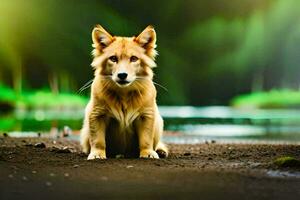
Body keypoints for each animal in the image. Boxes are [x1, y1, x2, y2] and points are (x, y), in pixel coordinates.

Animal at [81, 24, 168, 159]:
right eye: (113, 58)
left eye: (134, 58)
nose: (122, 75)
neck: (124, 93)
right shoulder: (96, 114)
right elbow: (98, 140)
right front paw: (97, 154)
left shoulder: (147, 115)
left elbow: (146, 138)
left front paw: (147, 153)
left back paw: (160, 151)